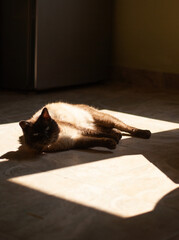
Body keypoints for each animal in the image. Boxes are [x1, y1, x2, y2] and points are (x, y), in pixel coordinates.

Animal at [19, 101, 151, 152]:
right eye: (36, 134)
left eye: (47, 128)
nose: (46, 137)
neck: (58, 139)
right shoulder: (76, 140)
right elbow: (97, 140)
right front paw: (112, 143)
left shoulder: (79, 131)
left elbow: (99, 135)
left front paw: (115, 141)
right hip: (94, 124)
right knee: (112, 130)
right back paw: (117, 135)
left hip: (105, 120)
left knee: (124, 127)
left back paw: (146, 133)